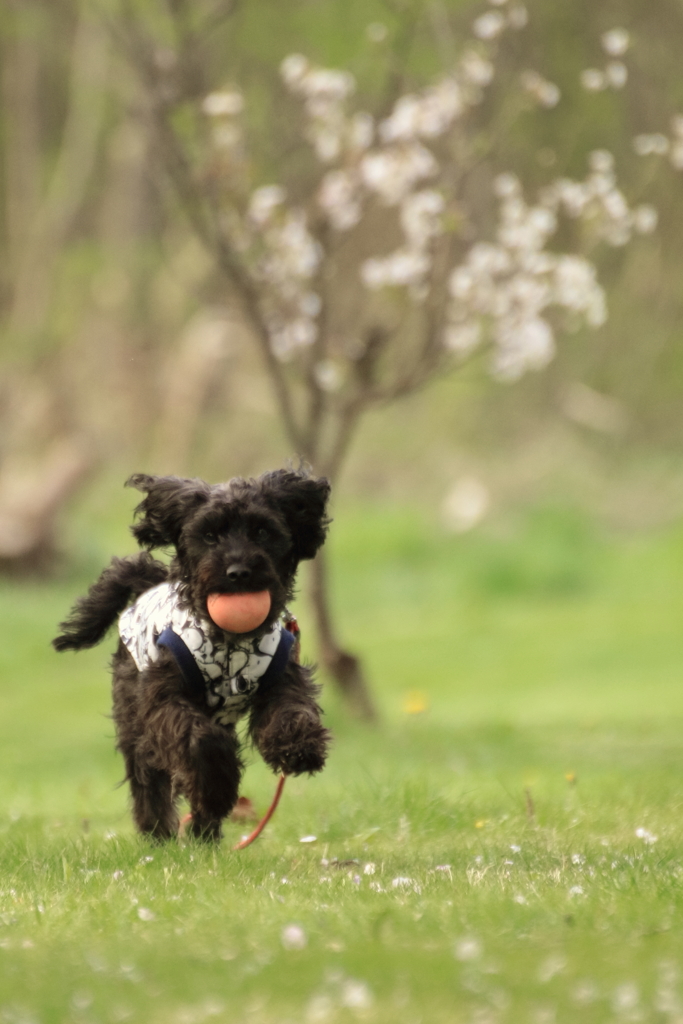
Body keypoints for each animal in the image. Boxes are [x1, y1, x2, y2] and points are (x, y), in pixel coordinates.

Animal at [52, 468, 331, 839]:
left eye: (261, 531)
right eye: (209, 536)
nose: (238, 572)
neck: (230, 643)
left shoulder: (282, 672)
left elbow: (291, 709)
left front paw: (299, 747)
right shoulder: (163, 696)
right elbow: (200, 740)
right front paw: (215, 788)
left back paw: (203, 833)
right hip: (133, 715)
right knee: (148, 776)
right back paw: (160, 833)